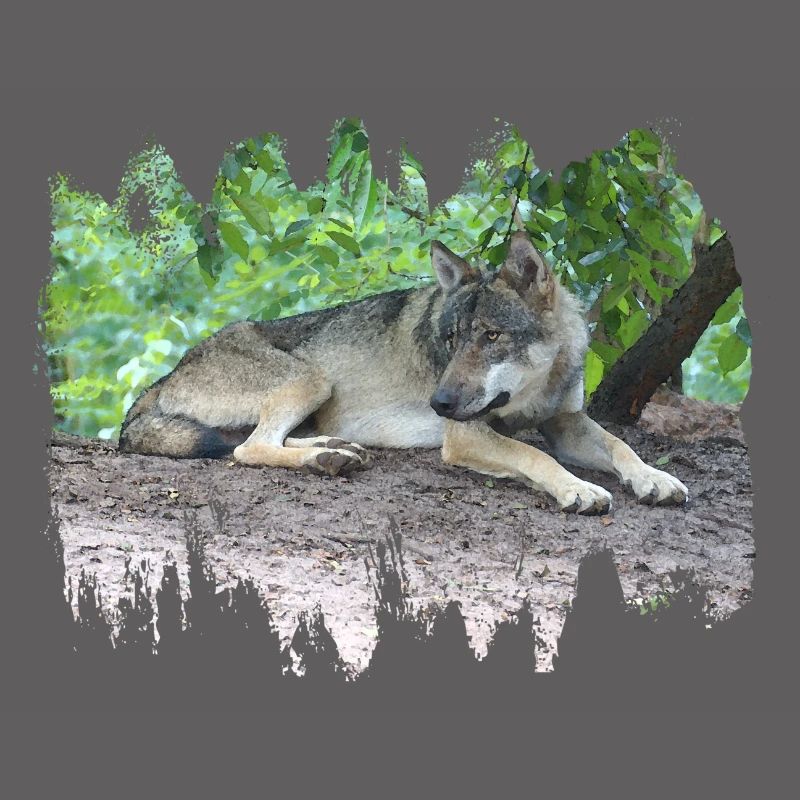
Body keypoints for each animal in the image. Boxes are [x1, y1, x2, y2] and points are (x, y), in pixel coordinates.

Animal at [119, 232, 688, 514]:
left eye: (491, 337)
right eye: (451, 340)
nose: (439, 403)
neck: (536, 386)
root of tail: (163, 378)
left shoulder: (564, 422)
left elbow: (620, 445)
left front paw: (654, 478)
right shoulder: (465, 436)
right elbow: (532, 455)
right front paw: (578, 489)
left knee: (262, 441)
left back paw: (334, 450)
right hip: (312, 380)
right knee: (248, 449)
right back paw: (324, 461)